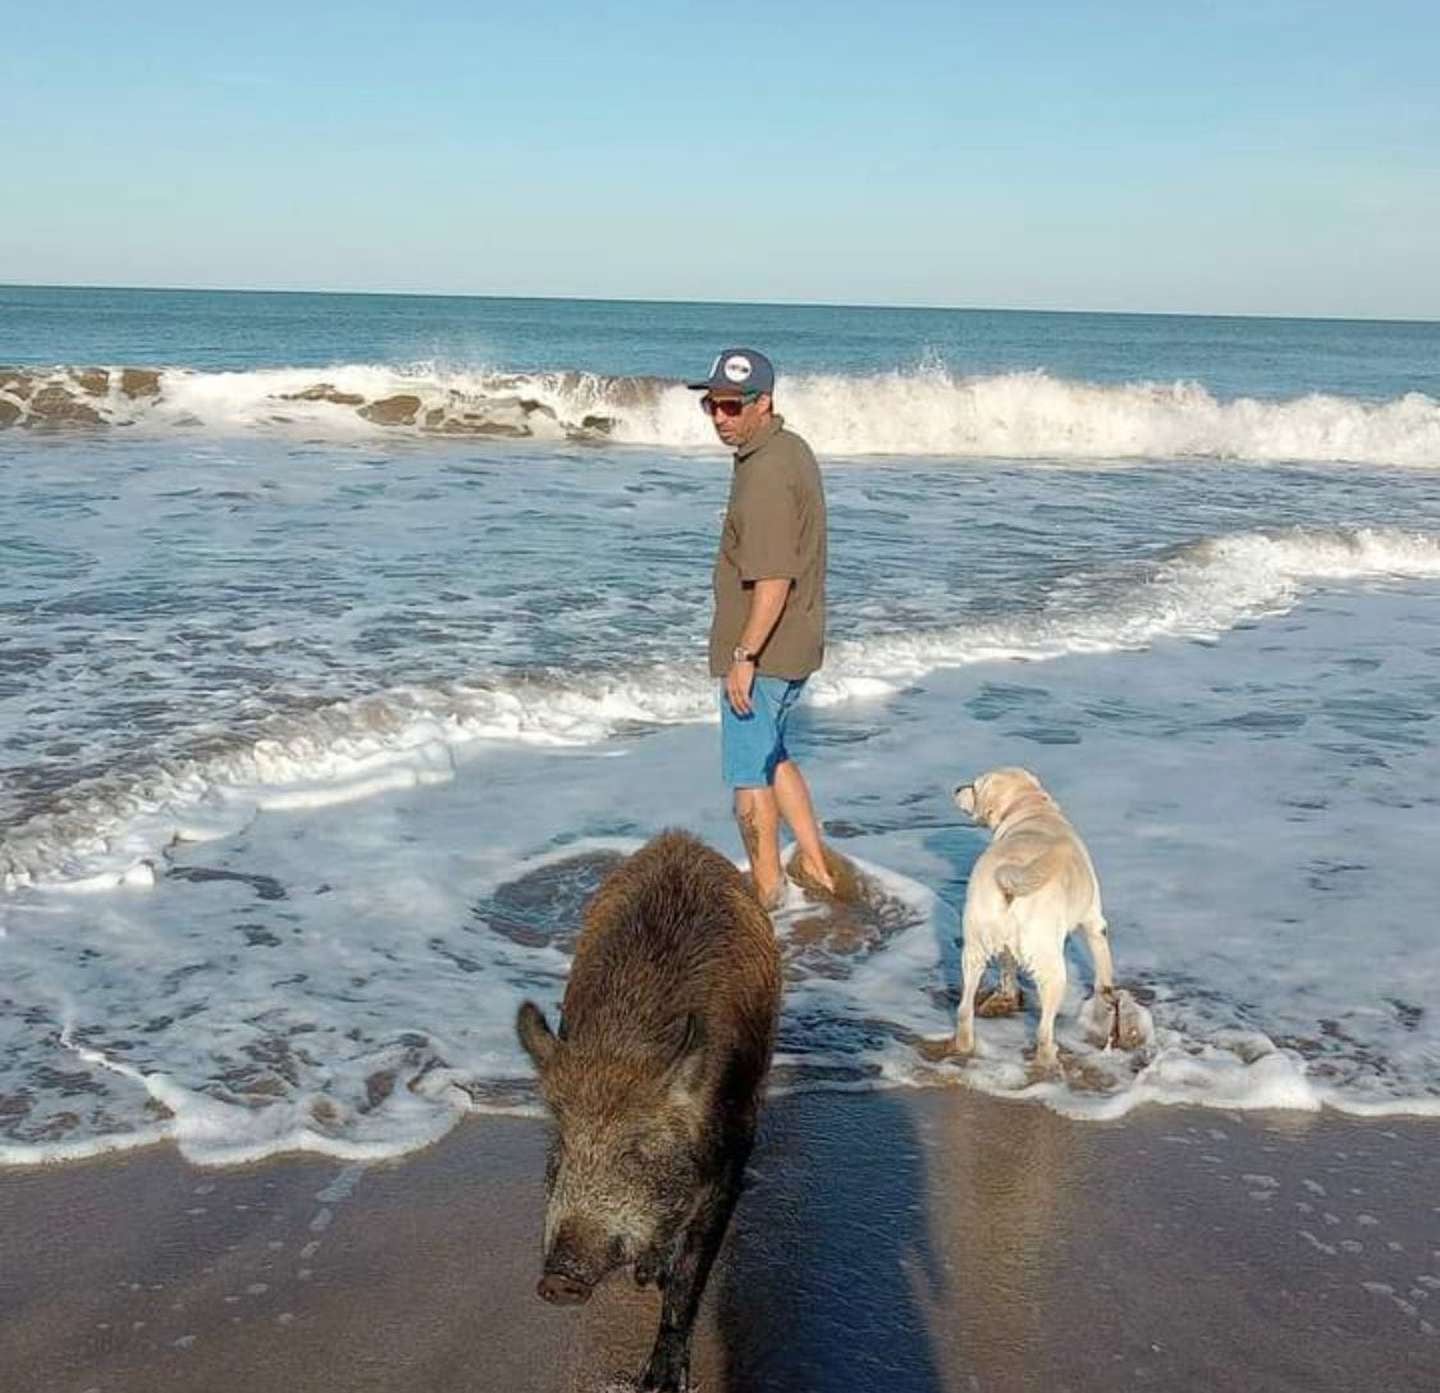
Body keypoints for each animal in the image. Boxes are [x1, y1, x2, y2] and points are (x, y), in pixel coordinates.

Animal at [950, 766, 1117, 1071]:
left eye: (975, 787)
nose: (956, 788)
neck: (1032, 809)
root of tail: (1010, 879)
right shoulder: (1095, 923)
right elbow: (1104, 971)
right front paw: (1107, 996)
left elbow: (1007, 969)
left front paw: (1007, 996)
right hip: (1052, 969)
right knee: (1043, 1029)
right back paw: (1049, 1058)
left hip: (974, 948)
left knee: (964, 1009)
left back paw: (965, 1046)